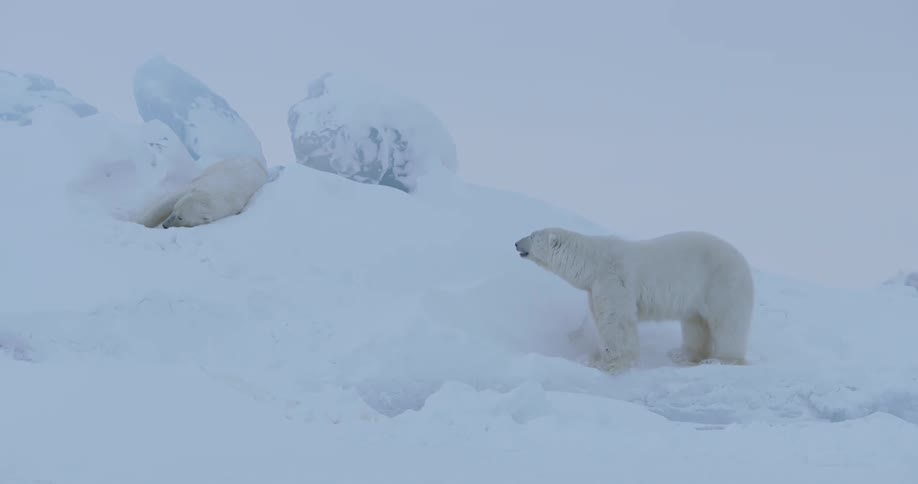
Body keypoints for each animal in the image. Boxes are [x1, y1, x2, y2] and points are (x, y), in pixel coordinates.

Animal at [134, 155, 268, 229]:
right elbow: (166, 202)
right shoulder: (196, 185)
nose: (165, 225)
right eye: (175, 209)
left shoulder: (232, 206)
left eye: (181, 218)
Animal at [514, 227, 755, 373]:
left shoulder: (613, 279)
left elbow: (616, 320)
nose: (516, 243)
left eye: (532, 235)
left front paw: (608, 364)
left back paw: (721, 359)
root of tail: (745, 264)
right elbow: (601, 316)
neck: (594, 261)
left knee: (727, 324)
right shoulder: (594, 288)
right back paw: (684, 356)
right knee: (695, 324)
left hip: (722, 284)